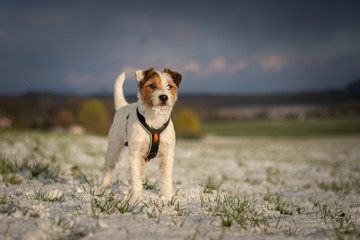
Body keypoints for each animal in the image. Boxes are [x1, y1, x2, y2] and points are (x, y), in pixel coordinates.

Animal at [100, 67, 181, 201]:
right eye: (152, 85)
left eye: (169, 86)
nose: (164, 97)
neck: (155, 120)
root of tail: (123, 106)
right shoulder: (135, 154)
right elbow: (135, 177)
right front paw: (136, 199)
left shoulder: (168, 154)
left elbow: (166, 177)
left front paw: (167, 198)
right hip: (114, 148)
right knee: (108, 167)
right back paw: (104, 186)